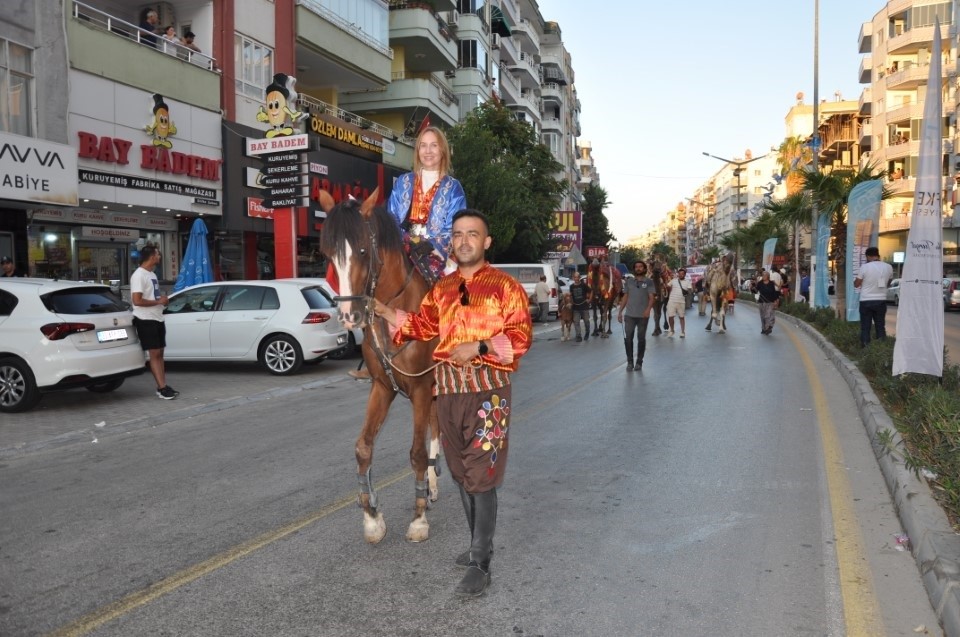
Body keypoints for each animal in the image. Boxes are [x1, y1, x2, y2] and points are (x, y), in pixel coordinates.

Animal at [320, 189, 444, 540]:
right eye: (329, 254)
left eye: (363, 249)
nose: (350, 316)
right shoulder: (382, 387)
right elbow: (363, 447)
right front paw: (372, 516)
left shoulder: (420, 387)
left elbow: (416, 452)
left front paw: (418, 519)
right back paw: (431, 486)